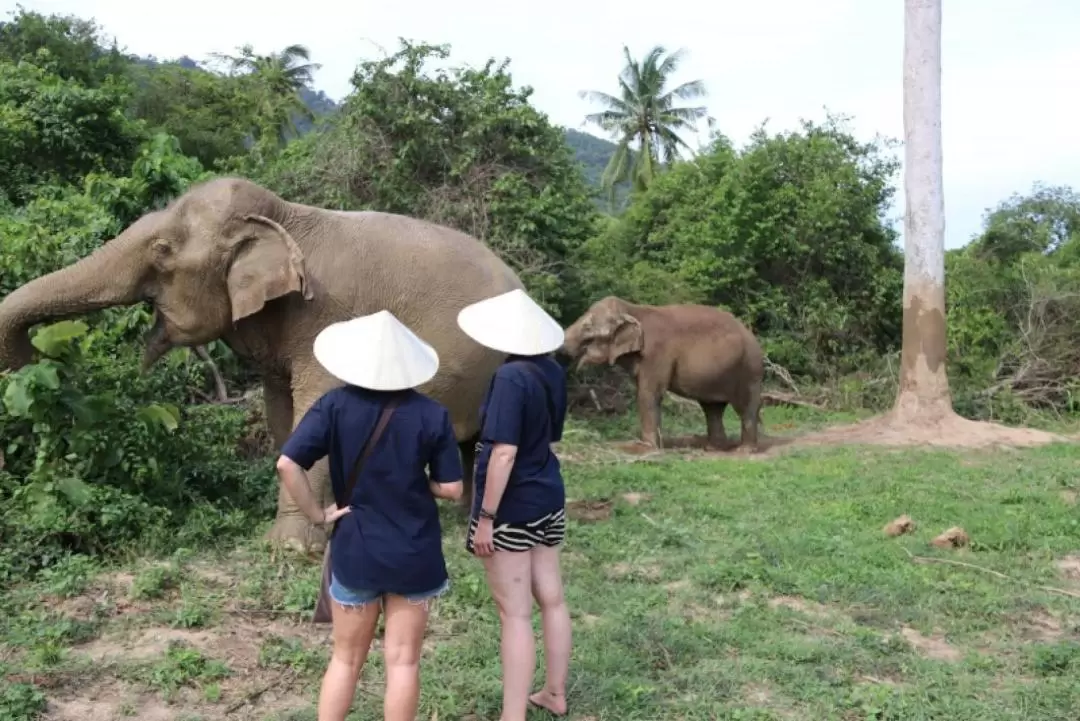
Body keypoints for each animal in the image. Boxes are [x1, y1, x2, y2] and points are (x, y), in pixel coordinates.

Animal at [0, 174, 522, 552]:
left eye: (162, 251)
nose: (42, 355)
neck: (287, 217)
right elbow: (282, 416)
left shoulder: (329, 315)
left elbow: (315, 410)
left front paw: (291, 551)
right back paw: (458, 525)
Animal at [561, 295, 764, 446]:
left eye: (587, 328)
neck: (633, 309)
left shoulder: (656, 352)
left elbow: (648, 394)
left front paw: (646, 448)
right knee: (712, 408)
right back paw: (714, 447)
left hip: (748, 369)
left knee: (745, 406)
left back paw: (744, 450)